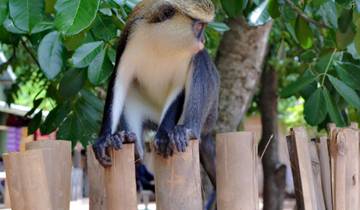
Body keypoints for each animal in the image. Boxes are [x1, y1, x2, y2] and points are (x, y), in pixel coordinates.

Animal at [91, 0, 218, 186]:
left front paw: (164, 136)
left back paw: (188, 131)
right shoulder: (132, 37)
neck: (163, 40)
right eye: (199, 26)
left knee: (200, 59)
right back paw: (132, 145)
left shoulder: (187, 57)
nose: (203, 40)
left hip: (208, 114)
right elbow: (120, 82)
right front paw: (104, 138)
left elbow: (179, 88)